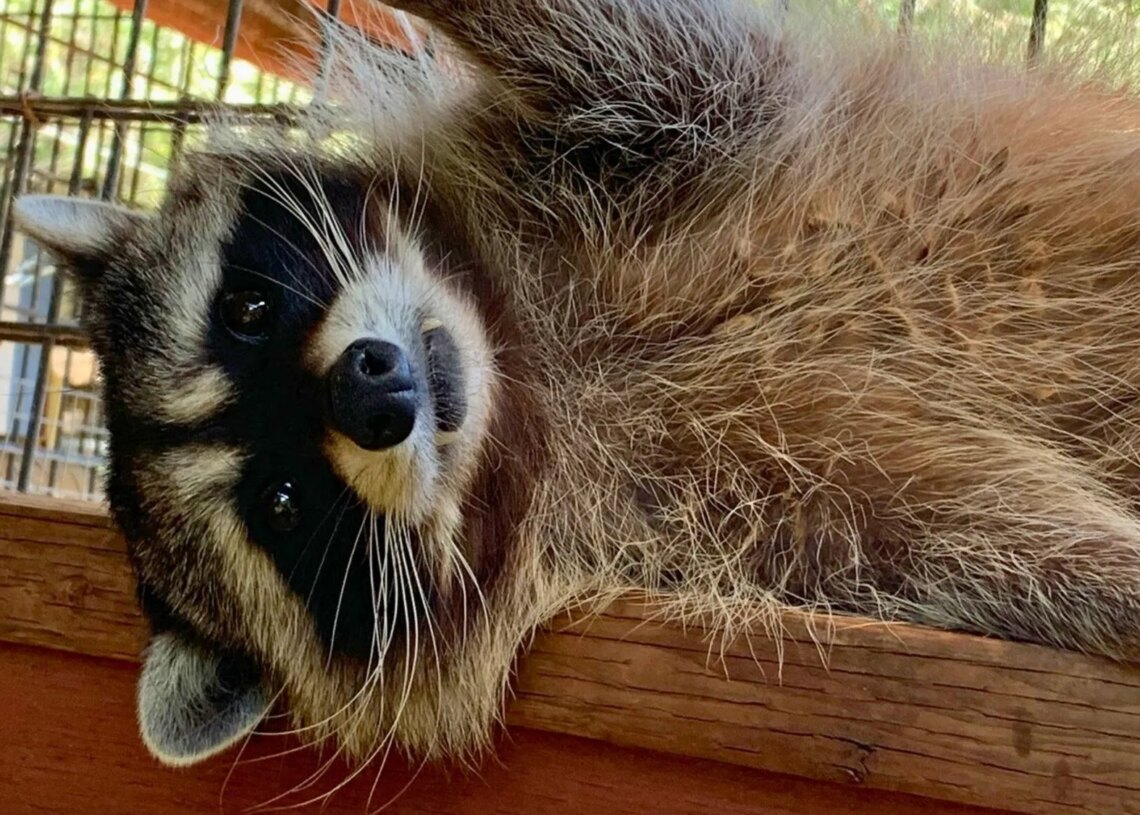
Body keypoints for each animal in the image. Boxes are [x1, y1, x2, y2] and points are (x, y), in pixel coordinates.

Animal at [15, 0, 1140, 773]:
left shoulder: (646, 139)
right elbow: (966, 530)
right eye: (285, 506)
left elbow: (649, 50)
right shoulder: (744, 501)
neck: (529, 371)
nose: (373, 393)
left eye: (245, 312)